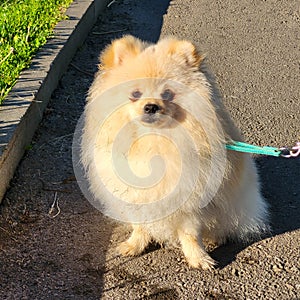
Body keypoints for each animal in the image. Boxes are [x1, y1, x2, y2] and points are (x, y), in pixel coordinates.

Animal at [81, 35, 268, 270]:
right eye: (135, 94)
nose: (151, 106)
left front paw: (199, 258)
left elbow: (190, 234)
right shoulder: (137, 197)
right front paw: (134, 245)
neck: (153, 141)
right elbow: (140, 226)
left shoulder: (190, 202)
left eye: (168, 93)